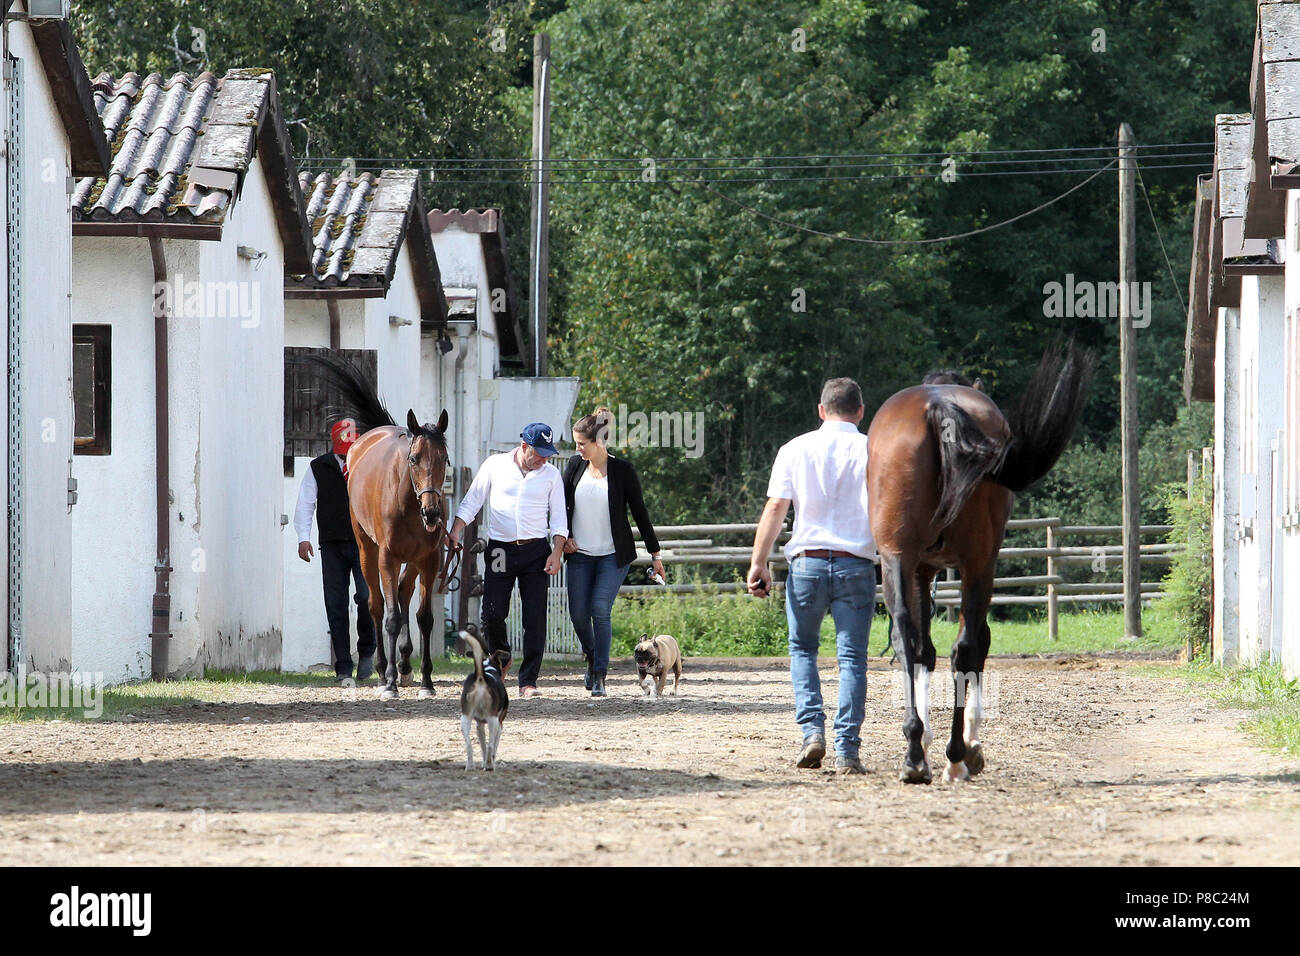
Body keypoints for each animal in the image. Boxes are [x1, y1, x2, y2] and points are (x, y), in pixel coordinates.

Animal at [306, 356, 454, 697]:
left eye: (444, 459)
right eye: (414, 459)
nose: (431, 513)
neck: (409, 505)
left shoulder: (430, 559)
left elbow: (424, 617)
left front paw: (426, 681)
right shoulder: (387, 557)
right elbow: (390, 617)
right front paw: (388, 683)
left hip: (412, 561)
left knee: (402, 592)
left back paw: (405, 665)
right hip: (367, 552)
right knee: (375, 605)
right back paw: (382, 667)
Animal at [868, 343, 1092, 785]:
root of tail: (938, 408)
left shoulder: (919, 569)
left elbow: (923, 651)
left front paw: (924, 739)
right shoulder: (966, 567)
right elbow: (974, 643)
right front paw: (968, 744)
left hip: (897, 558)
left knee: (907, 639)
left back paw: (914, 756)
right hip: (977, 564)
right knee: (968, 647)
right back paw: (958, 756)